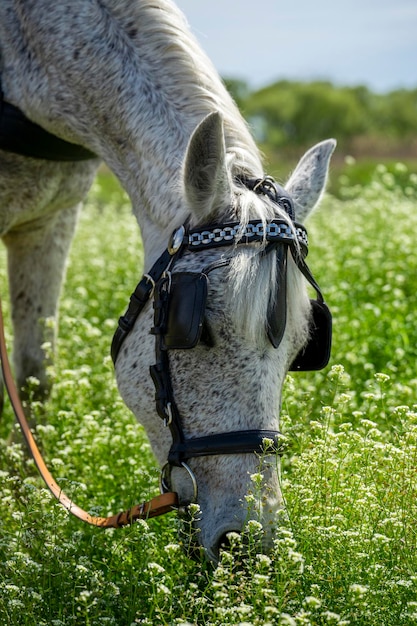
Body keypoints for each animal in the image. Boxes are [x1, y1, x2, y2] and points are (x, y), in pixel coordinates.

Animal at [0, 0, 334, 560]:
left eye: (302, 349)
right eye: (190, 329)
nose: (249, 550)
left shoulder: (52, 219)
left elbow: (32, 380)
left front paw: (28, 532)